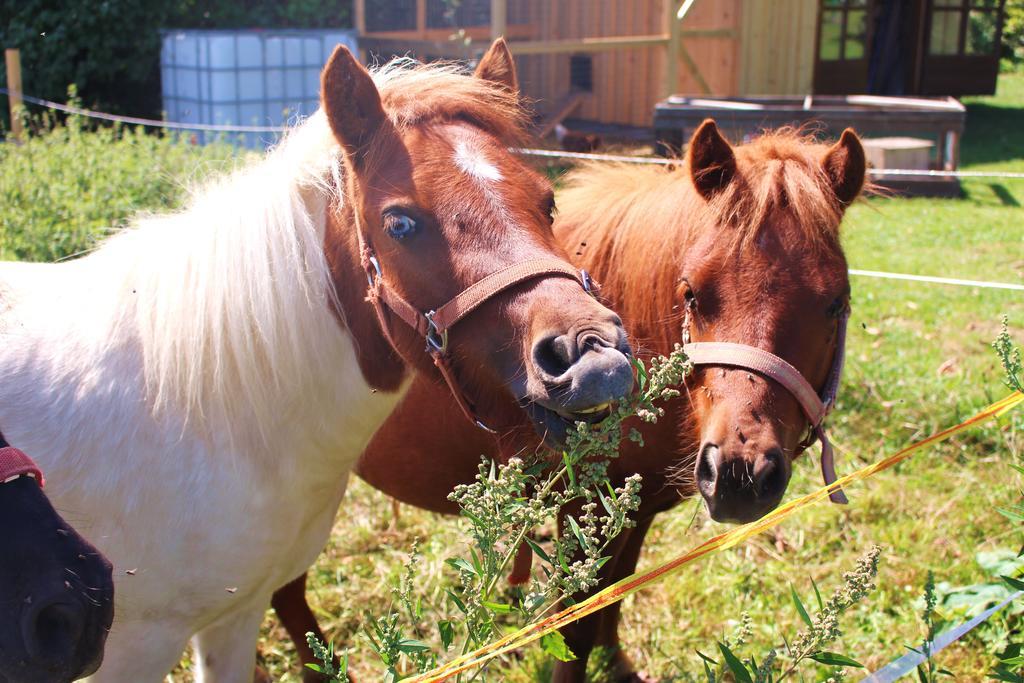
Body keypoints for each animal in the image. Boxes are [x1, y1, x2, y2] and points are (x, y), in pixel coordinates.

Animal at [272, 120, 864, 679]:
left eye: (837, 303)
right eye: (692, 292)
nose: (741, 473)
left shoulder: (634, 509)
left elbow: (615, 595)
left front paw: (617, 663)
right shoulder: (583, 511)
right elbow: (576, 624)